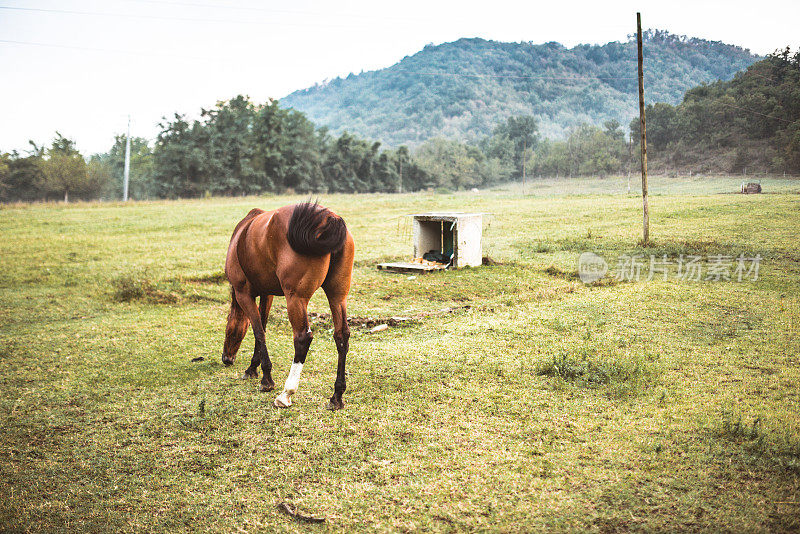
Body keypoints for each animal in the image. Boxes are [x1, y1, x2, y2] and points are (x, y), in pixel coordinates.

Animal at [220, 202, 354, 410]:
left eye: (228, 330)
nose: (226, 359)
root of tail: (329, 217)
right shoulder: (267, 294)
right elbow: (262, 327)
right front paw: (254, 367)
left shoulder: (244, 295)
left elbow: (258, 331)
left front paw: (266, 378)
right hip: (337, 295)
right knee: (341, 336)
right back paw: (337, 395)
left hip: (296, 298)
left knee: (303, 338)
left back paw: (286, 393)